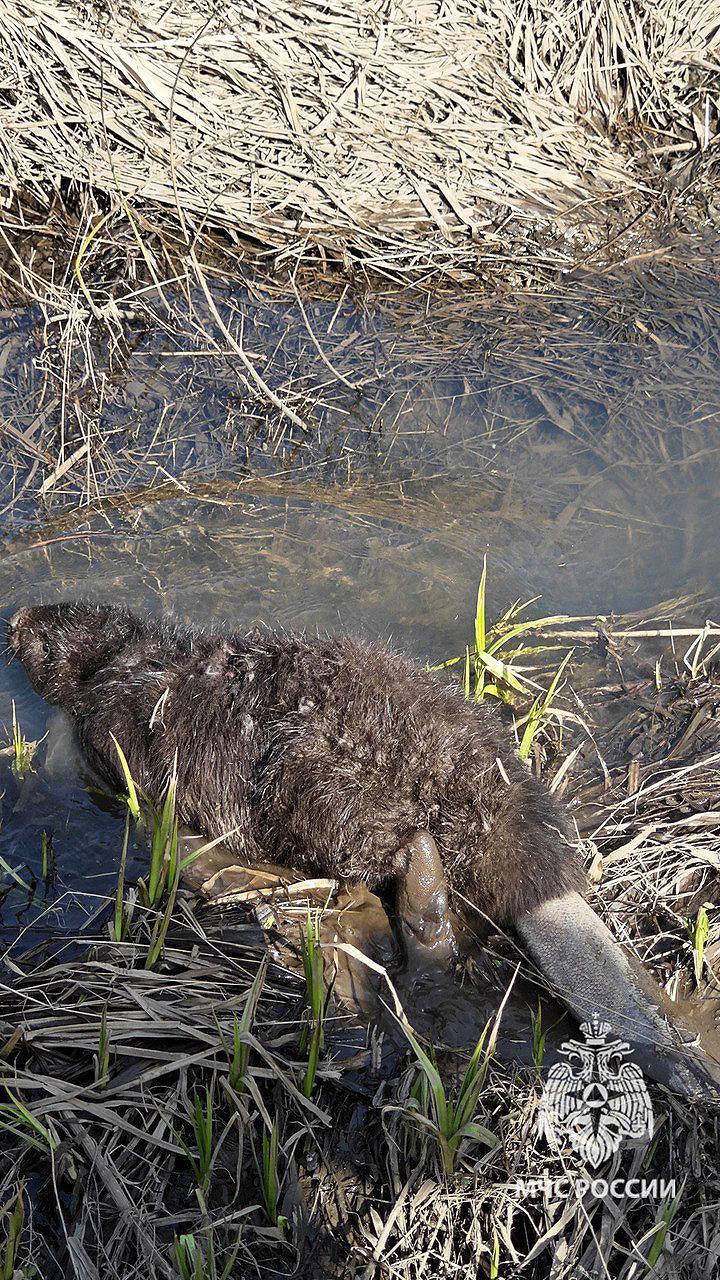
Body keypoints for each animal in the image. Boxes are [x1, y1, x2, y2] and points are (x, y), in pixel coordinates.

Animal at [5, 601, 717, 1100]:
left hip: (324, 791)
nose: (16, 618)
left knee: (406, 868)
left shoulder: (108, 724)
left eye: (43, 631)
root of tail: (543, 888)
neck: (130, 656)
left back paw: (420, 916)